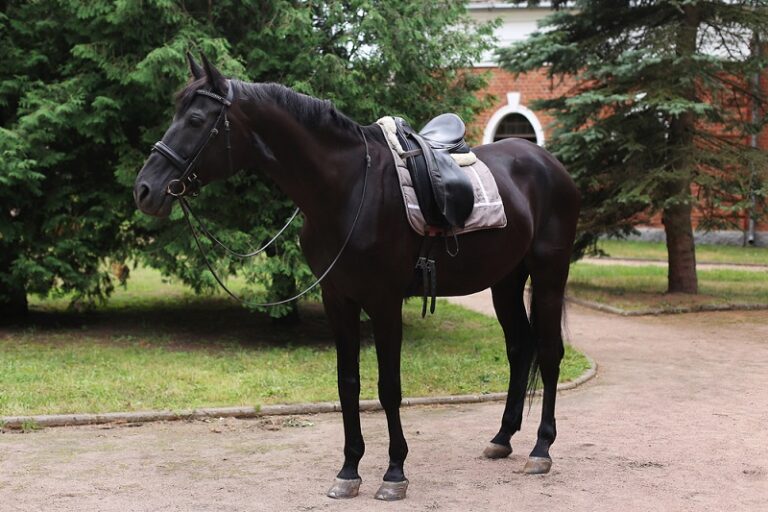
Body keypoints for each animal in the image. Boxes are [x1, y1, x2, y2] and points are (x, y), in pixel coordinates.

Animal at [133, 54, 580, 501]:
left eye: (195, 119)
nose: (144, 189)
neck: (346, 189)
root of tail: (549, 163)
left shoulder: (384, 302)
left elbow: (388, 387)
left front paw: (394, 473)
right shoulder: (338, 299)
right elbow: (348, 384)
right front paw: (349, 471)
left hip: (548, 274)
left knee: (549, 352)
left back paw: (541, 449)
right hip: (505, 280)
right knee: (520, 348)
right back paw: (502, 438)